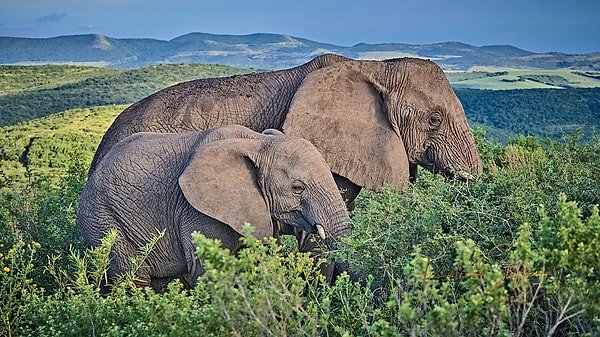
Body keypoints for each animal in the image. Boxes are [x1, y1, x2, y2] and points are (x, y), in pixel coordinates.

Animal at [77, 124, 354, 290]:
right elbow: (209, 272)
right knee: (133, 276)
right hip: (102, 219)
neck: (258, 142)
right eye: (297, 188)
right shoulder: (197, 210)